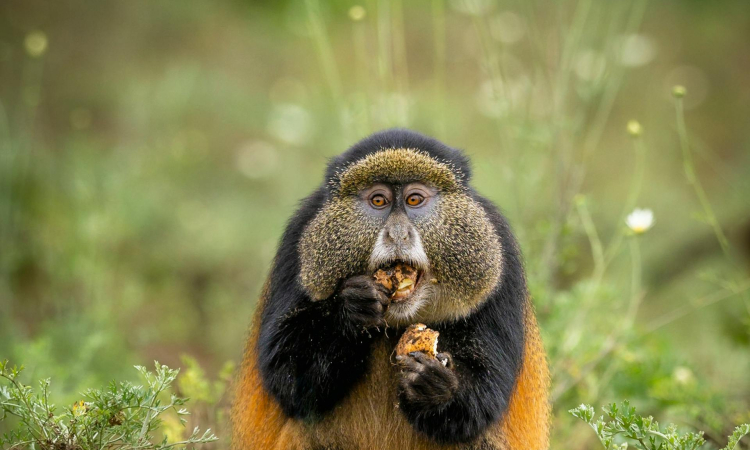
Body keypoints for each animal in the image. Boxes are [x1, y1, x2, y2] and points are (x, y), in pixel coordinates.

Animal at [231, 129, 550, 450]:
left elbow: (485, 397)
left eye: (414, 199)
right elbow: (287, 376)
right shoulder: (298, 235)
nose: (397, 233)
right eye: (379, 201)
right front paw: (351, 310)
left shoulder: (500, 249)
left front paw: (435, 386)